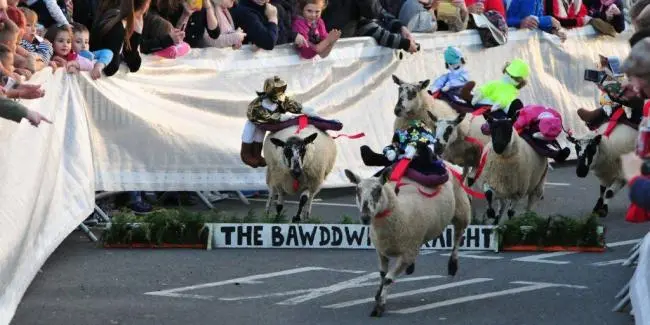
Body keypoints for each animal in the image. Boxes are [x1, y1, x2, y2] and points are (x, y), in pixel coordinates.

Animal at [342, 166, 468, 316]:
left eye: (378, 190)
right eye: (357, 191)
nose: (365, 217)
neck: (399, 210)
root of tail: (447, 164)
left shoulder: (406, 254)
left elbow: (388, 279)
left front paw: (379, 307)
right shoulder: (381, 251)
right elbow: (382, 274)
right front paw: (378, 295)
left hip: (462, 210)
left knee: (458, 236)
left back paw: (453, 265)